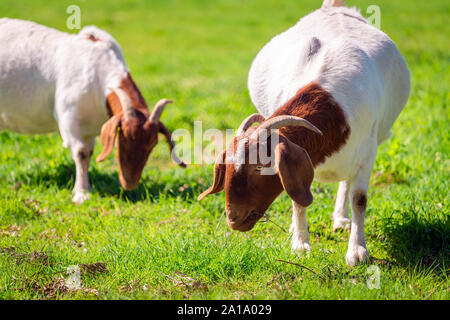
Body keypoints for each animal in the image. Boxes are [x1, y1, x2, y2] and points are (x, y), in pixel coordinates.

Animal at [0, 18, 185, 204]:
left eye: (153, 144)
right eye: (121, 139)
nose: (129, 183)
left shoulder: (91, 127)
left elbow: (88, 153)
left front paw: (86, 188)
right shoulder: (69, 119)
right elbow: (81, 152)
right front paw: (81, 194)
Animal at [199, 0, 410, 268]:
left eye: (260, 167)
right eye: (225, 167)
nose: (233, 220)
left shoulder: (367, 153)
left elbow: (359, 199)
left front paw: (357, 251)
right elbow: (297, 198)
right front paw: (300, 245)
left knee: (346, 183)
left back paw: (341, 219)